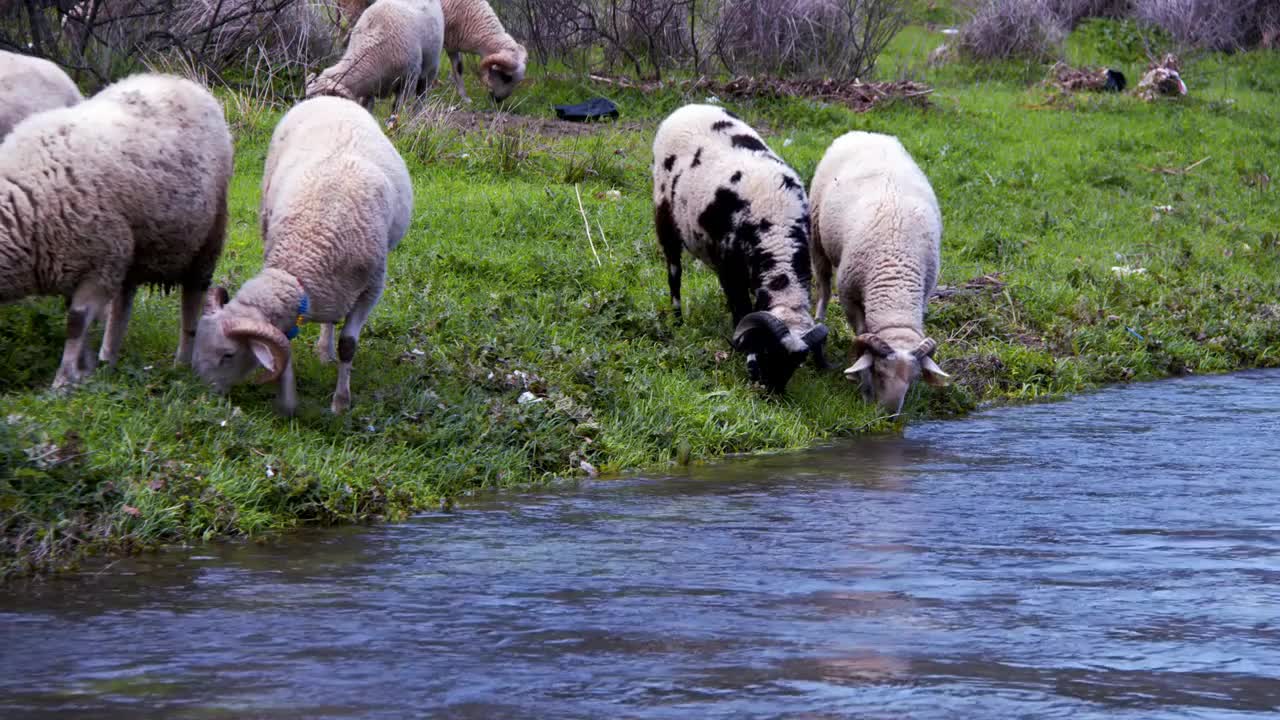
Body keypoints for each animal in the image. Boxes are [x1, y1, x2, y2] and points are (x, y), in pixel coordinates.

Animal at [0, 72, 232, 386]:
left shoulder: (100, 263)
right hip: (133, 249)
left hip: (207, 239)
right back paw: (107, 359)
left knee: (191, 300)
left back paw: (182, 362)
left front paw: (63, 380)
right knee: (123, 303)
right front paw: (83, 370)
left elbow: (75, 323)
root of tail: (178, 80)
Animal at [192, 94, 412, 415]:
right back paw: (323, 349)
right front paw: (288, 397)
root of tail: (329, 96)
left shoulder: (372, 289)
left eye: (229, 355)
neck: (306, 252)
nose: (202, 397)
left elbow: (349, 345)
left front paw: (340, 403)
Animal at [650, 102, 829, 392]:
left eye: (794, 365)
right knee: (674, 272)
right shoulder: (729, 271)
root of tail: (689, 107)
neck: (775, 228)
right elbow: (743, 309)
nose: (772, 393)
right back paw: (677, 319)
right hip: (664, 215)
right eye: (767, 350)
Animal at [808, 129, 952, 415]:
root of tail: (865, 132)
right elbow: (860, 333)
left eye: (914, 378)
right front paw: (863, 387)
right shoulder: (850, 298)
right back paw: (819, 318)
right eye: (879, 371)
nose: (889, 415)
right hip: (817, 237)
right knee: (823, 287)